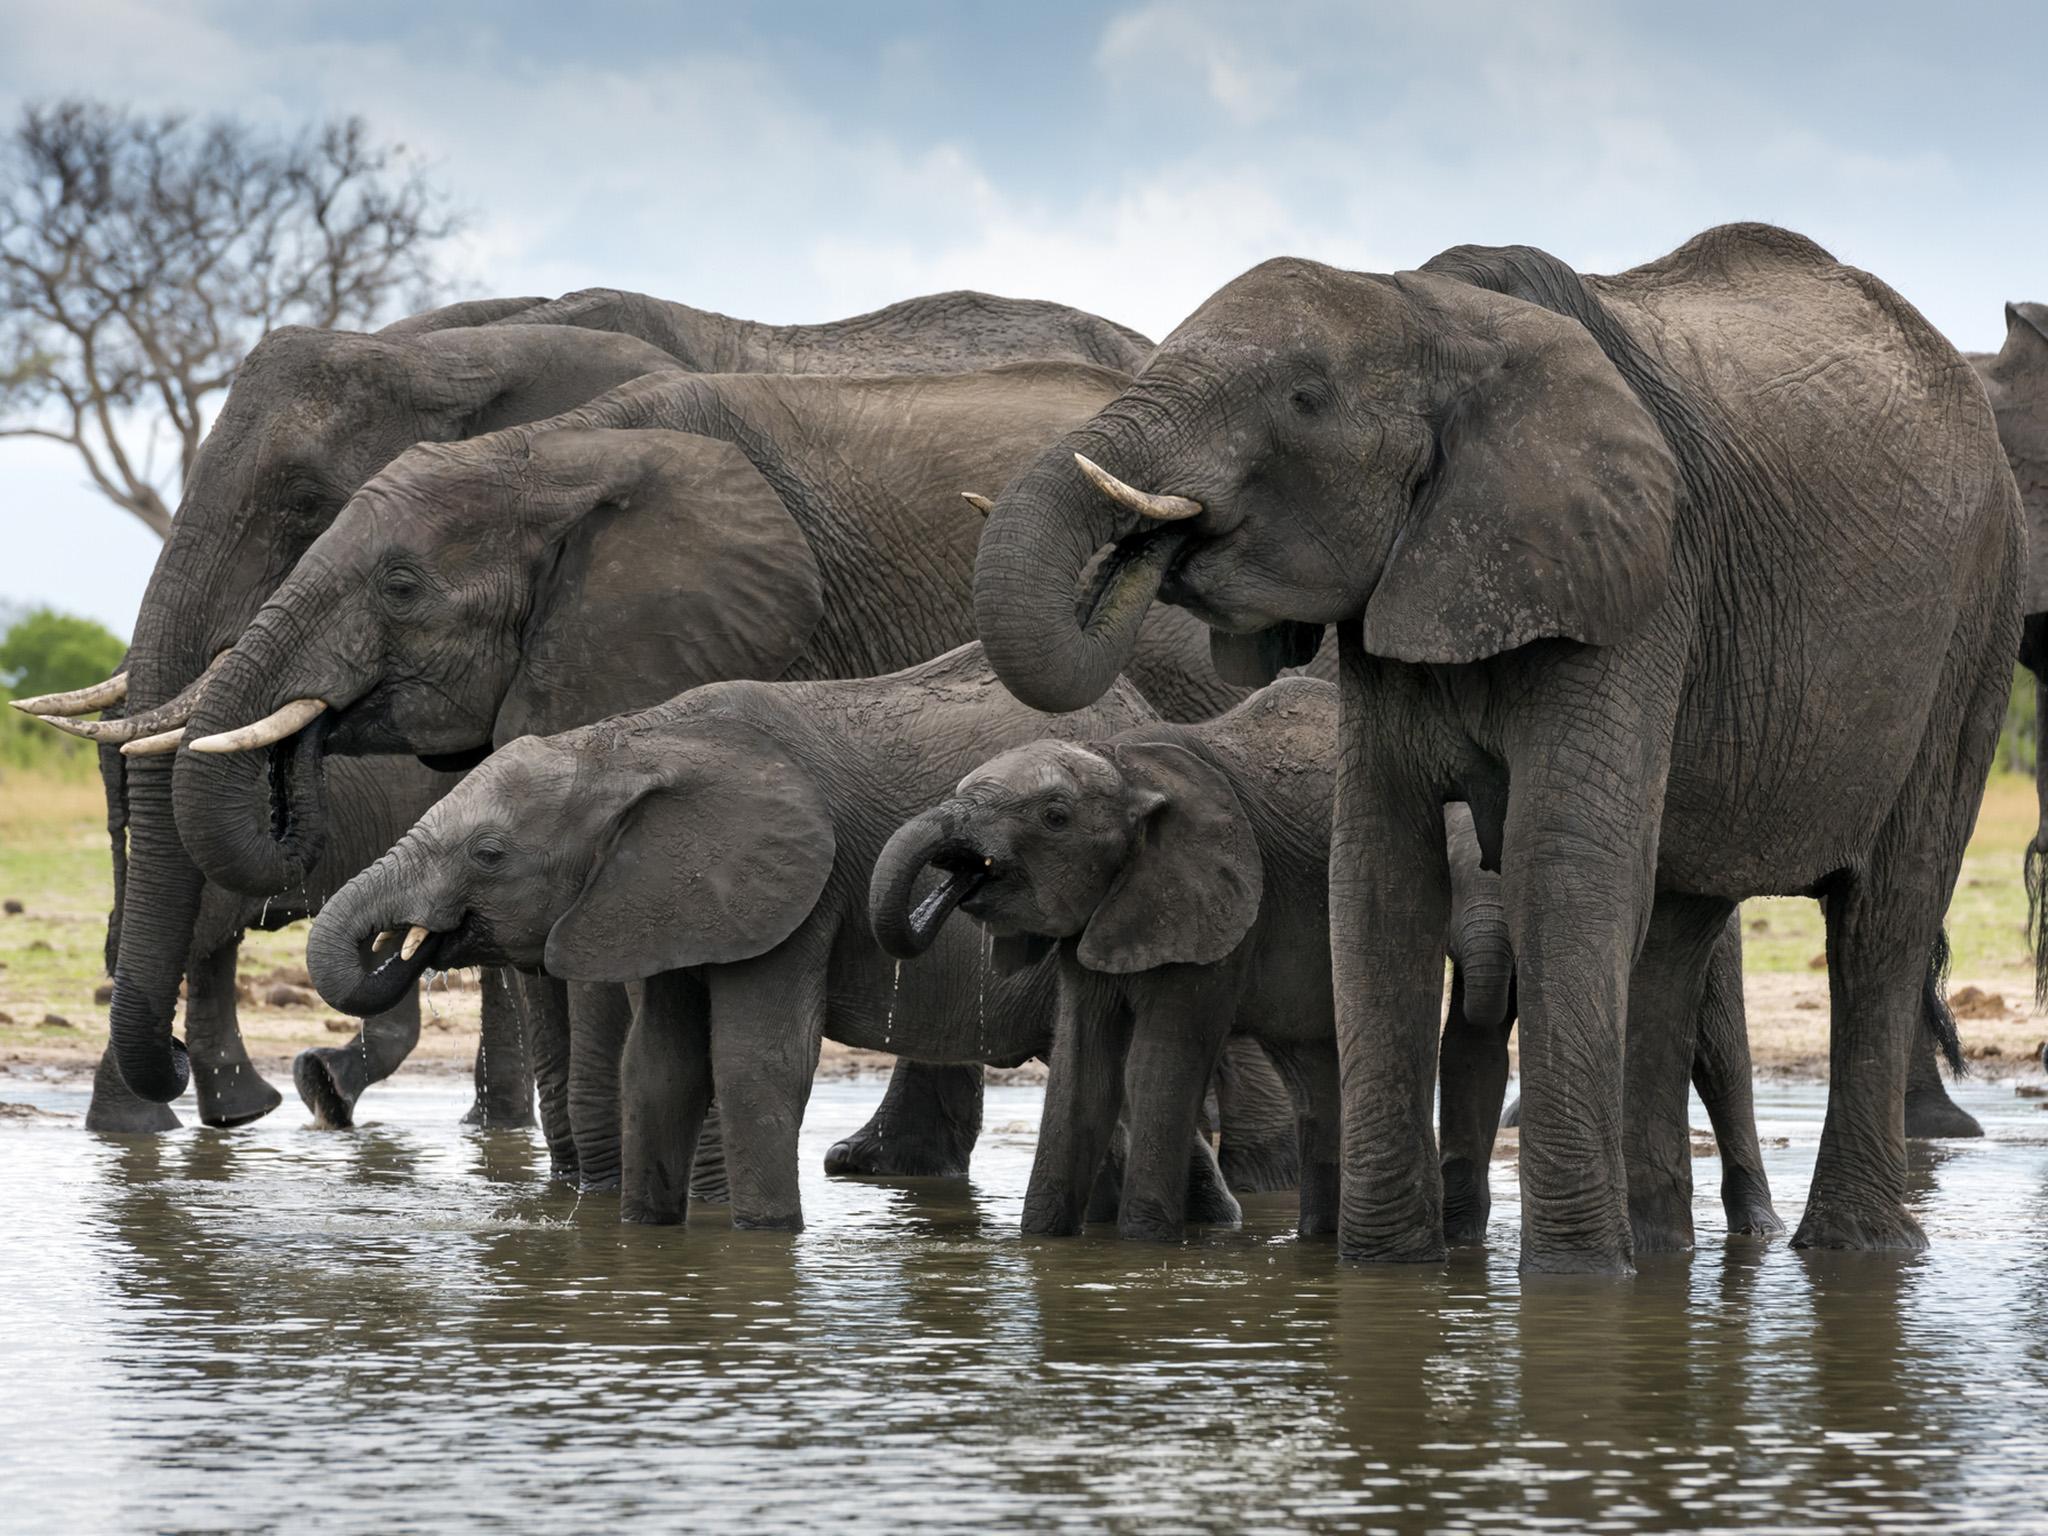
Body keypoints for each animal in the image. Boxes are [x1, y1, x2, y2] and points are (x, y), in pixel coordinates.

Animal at [876, 679, 1368, 1245]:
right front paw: (1044, 1243)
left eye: (1055, 817)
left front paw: (1144, 1247)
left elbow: (1157, 1067)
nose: (951, 885)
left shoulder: (1216, 905)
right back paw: (1317, 1240)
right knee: (1313, 1072)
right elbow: (1082, 1070)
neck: (1130, 768)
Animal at [970, 219, 2015, 1277]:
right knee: (1674, 933)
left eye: (1304, 399)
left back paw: (1850, 1251)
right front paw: (1389, 1274)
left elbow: (1562, 862)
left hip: (1974, 627)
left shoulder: (1634, 577)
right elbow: (1378, 871)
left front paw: (1574, 1285)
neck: (1439, 314)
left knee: (1884, 917)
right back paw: (1662, 1255)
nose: (1149, 543)